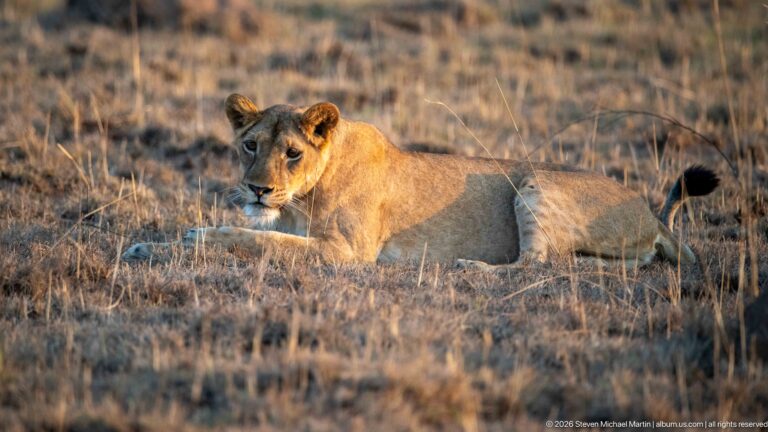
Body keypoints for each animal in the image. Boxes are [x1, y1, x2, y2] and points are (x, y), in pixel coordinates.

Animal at [122, 94, 719, 270]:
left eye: (291, 153)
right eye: (251, 146)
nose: (257, 190)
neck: (303, 195)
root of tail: (651, 215)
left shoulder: (347, 252)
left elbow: (256, 240)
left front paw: (197, 236)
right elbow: (260, 234)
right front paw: (146, 246)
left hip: (537, 185)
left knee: (540, 264)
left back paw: (471, 267)